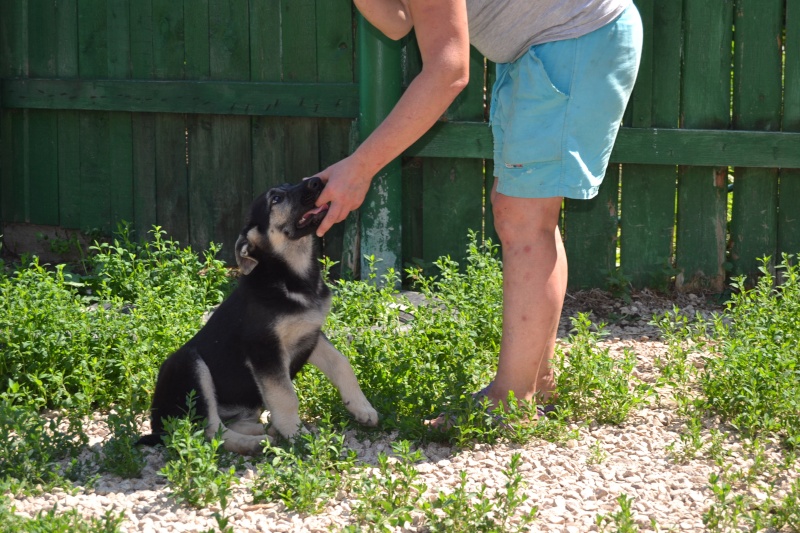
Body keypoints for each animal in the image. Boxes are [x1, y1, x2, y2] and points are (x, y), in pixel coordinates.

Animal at [139, 178, 380, 454]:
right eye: (275, 199)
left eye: (293, 183)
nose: (317, 181)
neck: (291, 277)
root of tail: (157, 427)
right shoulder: (265, 349)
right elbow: (286, 397)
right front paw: (298, 436)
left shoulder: (310, 334)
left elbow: (342, 363)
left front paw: (361, 407)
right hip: (188, 365)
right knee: (211, 432)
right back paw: (256, 443)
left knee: (228, 424)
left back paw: (266, 431)